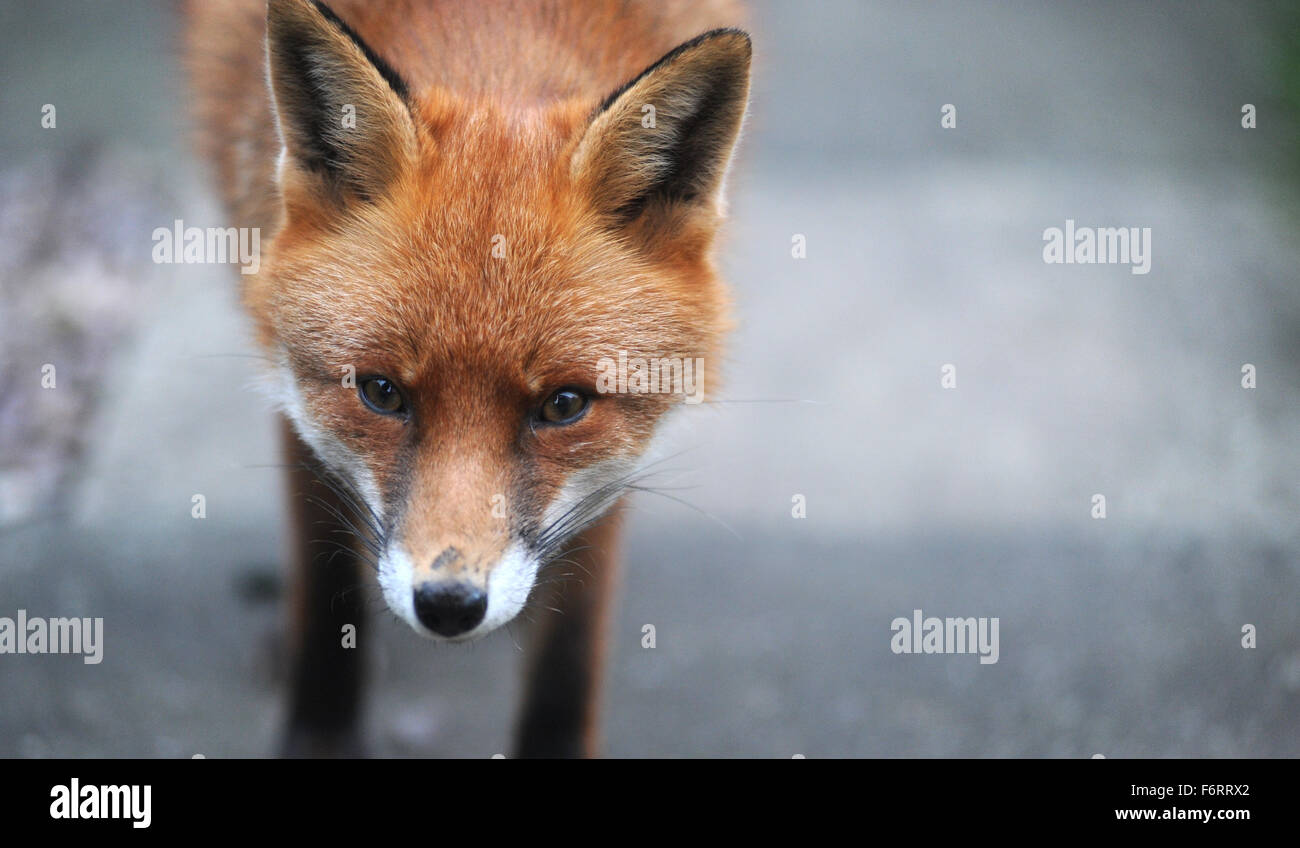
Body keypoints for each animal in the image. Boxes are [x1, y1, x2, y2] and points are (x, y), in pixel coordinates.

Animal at [184, 0, 754, 754]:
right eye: (382, 392)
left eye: (564, 405)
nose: (449, 605)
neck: (496, 29)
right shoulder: (290, 385)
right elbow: (324, 571)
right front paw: (320, 730)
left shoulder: (614, 467)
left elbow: (569, 653)